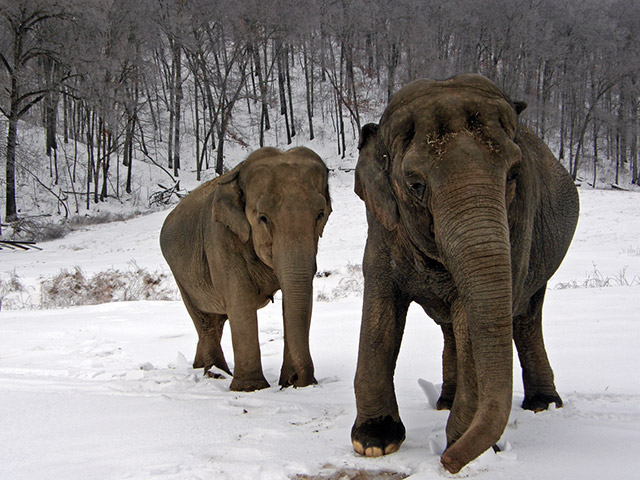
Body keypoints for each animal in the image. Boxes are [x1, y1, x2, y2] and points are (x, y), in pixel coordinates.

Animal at [160, 148, 332, 392]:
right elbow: (240, 300)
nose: (296, 379)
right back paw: (216, 375)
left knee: (217, 321)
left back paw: (200, 367)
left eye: (320, 214)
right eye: (263, 218)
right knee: (204, 320)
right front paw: (251, 388)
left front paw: (289, 385)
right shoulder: (220, 238)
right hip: (180, 274)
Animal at [350, 73, 580, 474]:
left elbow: (470, 320)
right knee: (451, 328)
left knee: (526, 317)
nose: (447, 463)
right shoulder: (382, 224)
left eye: (514, 173)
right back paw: (444, 401)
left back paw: (543, 405)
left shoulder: (520, 219)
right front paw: (374, 443)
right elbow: (381, 303)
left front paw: (467, 446)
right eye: (415, 184)